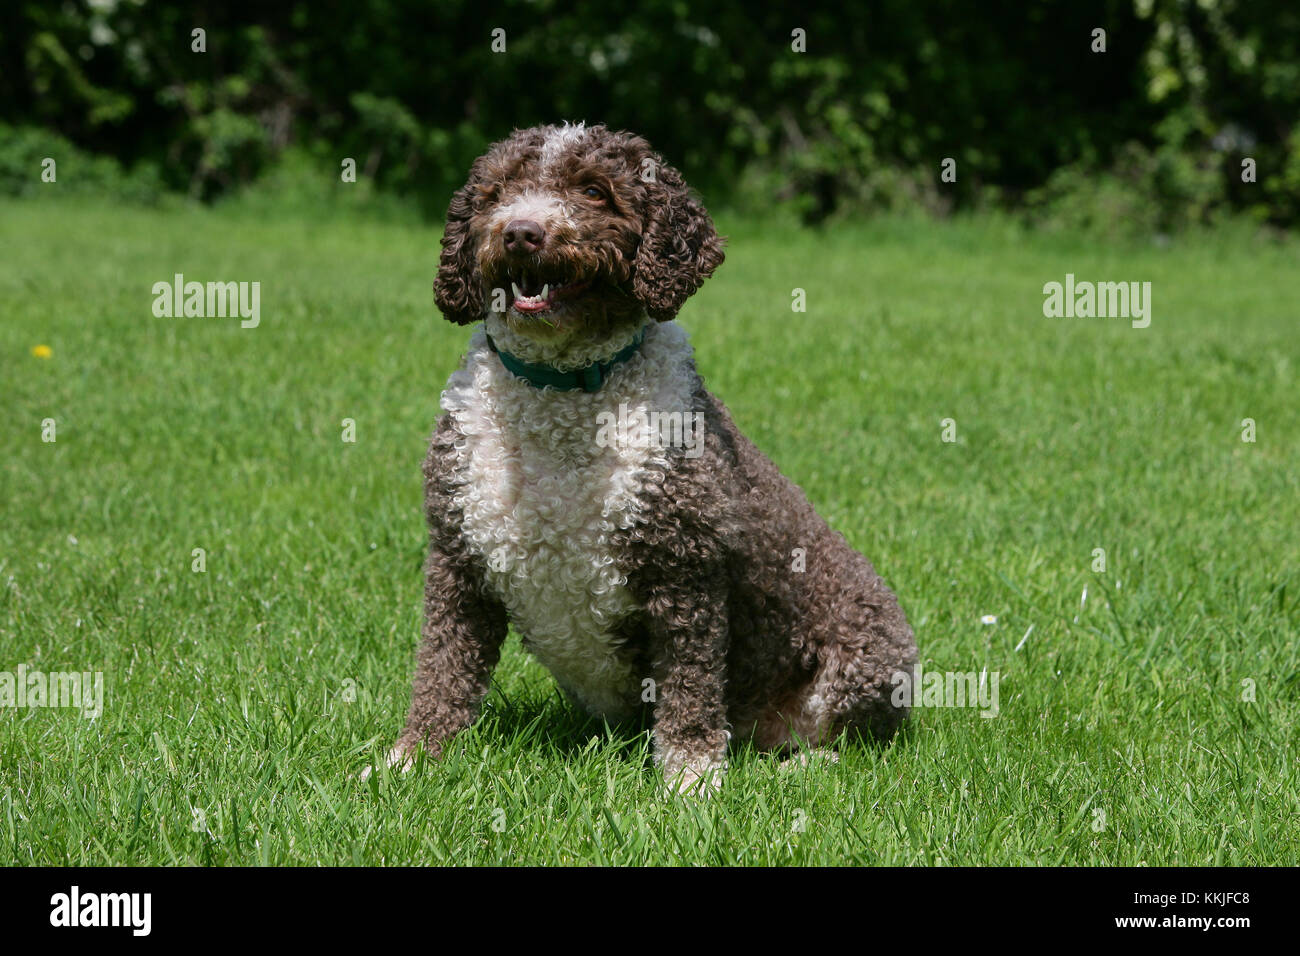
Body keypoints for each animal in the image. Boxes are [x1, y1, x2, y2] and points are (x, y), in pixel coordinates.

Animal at [379, 119, 920, 790]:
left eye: (593, 191)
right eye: (498, 190)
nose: (521, 231)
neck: (564, 391)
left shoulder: (685, 567)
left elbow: (689, 687)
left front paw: (690, 777)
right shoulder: (458, 560)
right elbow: (442, 670)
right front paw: (414, 758)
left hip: (866, 655)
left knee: (843, 738)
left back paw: (804, 764)